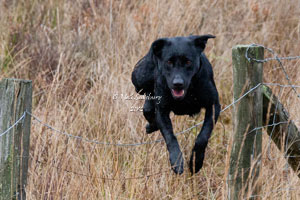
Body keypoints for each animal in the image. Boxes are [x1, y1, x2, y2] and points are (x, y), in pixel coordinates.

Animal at [131, 34, 220, 173]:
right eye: (169, 62)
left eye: (188, 62)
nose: (178, 83)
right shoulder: (162, 111)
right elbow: (170, 136)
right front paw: (176, 161)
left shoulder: (213, 105)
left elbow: (203, 135)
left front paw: (196, 161)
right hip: (140, 79)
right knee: (147, 99)